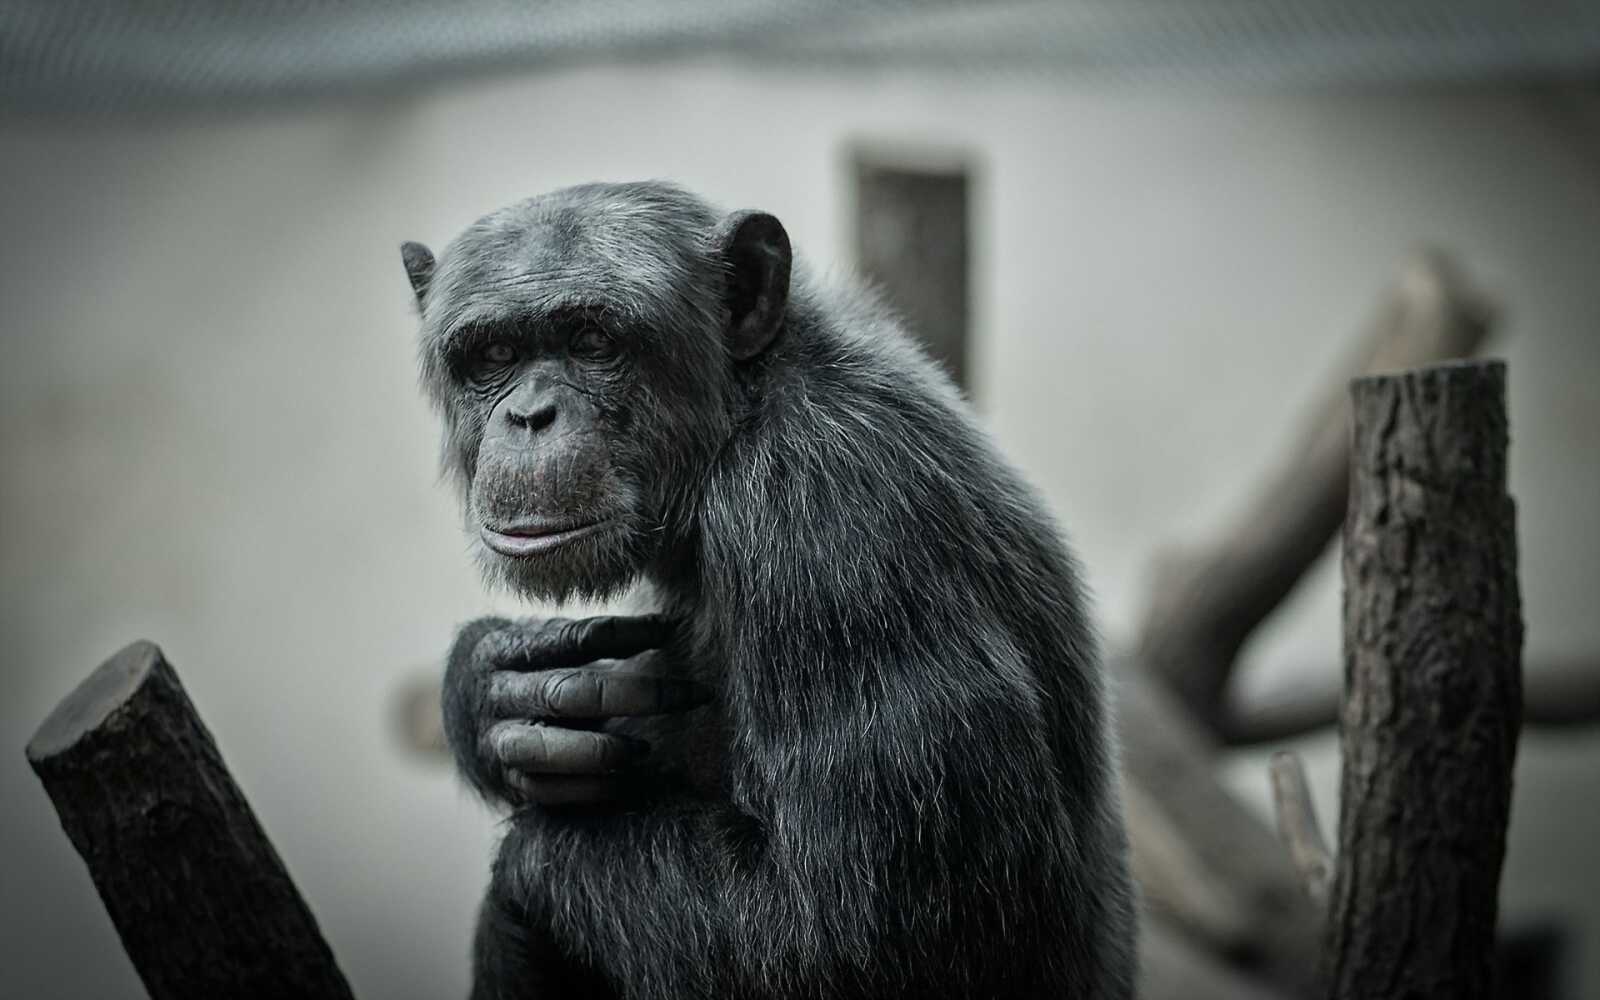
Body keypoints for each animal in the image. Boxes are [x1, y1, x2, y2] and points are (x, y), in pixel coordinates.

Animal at [401, 180, 1136, 1000]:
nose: (530, 416)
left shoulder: (830, 523)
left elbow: (841, 933)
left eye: (593, 341)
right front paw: (490, 684)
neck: (742, 411)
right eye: (494, 355)